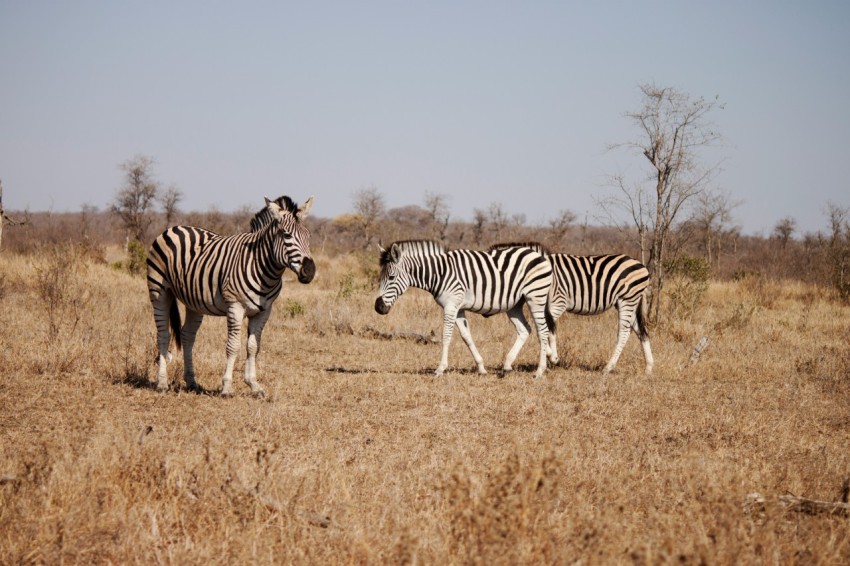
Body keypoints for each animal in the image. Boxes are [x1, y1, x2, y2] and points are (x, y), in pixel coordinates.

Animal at [146, 195, 315, 397]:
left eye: (309, 236)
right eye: (287, 235)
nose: (310, 271)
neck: (264, 269)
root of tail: (173, 228)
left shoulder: (264, 311)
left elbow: (253, 347)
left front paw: (254, 385)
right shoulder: (235, 307)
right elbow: (233, 346)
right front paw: (227, 387)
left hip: (193, 301)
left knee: (187, 336)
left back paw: (192, 382)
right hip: (159, 292)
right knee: (163, 334)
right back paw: (162, 383)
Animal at [374, 240, 555, 379]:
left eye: (391, 277)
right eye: (380, 278)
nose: (378, 307)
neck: (439, 273)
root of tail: (538, 255)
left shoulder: (450, 306)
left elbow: (446, 336)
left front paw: (440, 369)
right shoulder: (458, 308)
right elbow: (467, 337)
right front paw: (481, 368)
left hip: (535, 297)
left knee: (542, 331)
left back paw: (539, 371)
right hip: (514, 304)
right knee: (525, 329)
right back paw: (507, 366)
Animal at [490, 242, 654, 375]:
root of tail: (641, 265)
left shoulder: (557, 303)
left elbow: (548, 330)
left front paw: (553, 357)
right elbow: (549, 330)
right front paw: (552, 357)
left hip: (627, 300)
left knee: (624, 333)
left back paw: (608, 368)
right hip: (627, 302)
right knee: (641, 331)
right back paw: (648, 368)